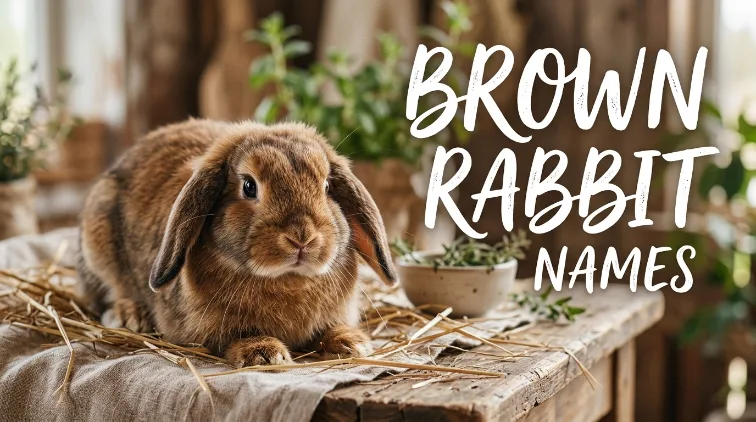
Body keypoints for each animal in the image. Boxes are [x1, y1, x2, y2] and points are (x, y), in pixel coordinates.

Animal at [77, 119, 397, 367]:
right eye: (249, 186)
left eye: (327, 186)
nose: (302, 238)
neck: (287, 279)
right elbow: (237, 336)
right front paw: (264, 354)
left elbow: (332, 329)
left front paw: (352, 344)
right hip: (98, 245)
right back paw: (130, 316)